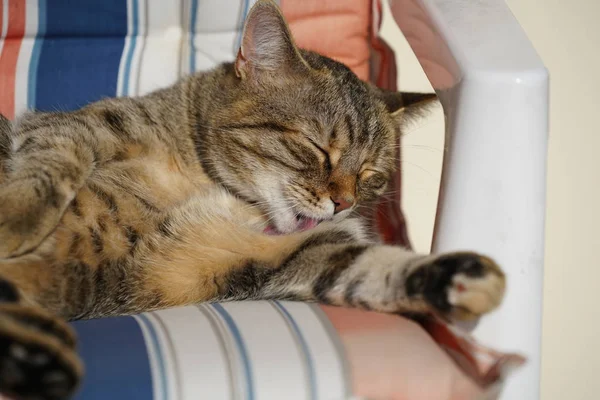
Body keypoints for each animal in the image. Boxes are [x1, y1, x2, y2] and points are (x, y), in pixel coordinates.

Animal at [0, 1, 506, 398]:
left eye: (371, 175)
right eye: (318, 149)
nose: (343, 203)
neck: (221, 190)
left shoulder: (293, 254)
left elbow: (375, 266)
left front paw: (459, 276)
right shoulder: (76, 126)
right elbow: (59, 158)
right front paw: (17, 216)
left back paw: (37, 357)